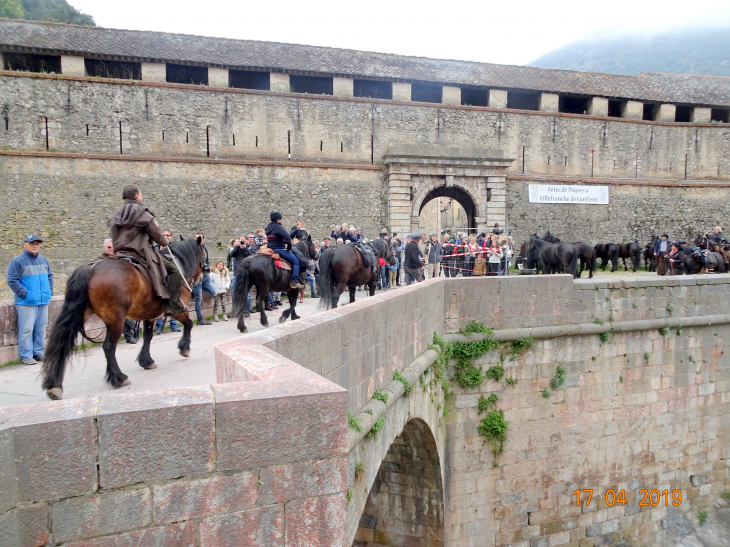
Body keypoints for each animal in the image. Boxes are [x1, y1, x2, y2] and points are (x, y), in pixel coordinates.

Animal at [41, 238, 203, 400]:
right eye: (203, 256)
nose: (203, 275)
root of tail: (91, 269)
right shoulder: (178, 311)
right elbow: (189, 324)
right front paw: (184, 347)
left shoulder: (148, 314)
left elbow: (148, 337)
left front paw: (146, 361)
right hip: (116, 320)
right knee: (108, 347)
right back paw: (118, 377)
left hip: (81, 314)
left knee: (62, 344)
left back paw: (55, 386)